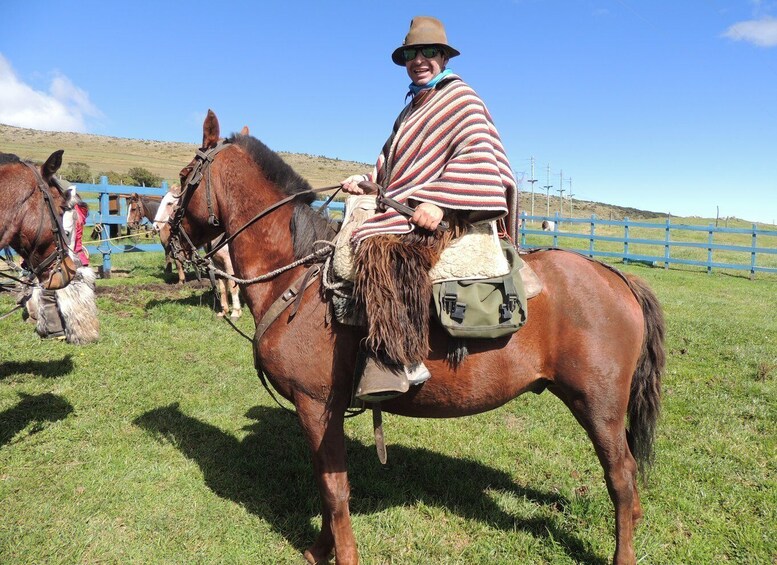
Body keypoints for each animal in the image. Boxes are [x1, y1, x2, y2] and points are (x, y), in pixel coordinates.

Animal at [168, 111, 660, 564]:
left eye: (184, 176)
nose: (168, 237)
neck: (295, 279)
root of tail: (618, 277)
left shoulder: (314, 406)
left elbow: (333, 490)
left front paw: (340, 554)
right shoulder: (323, 413)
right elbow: (328, 488)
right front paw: (320, 549)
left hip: (597, 405)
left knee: (621, 476)